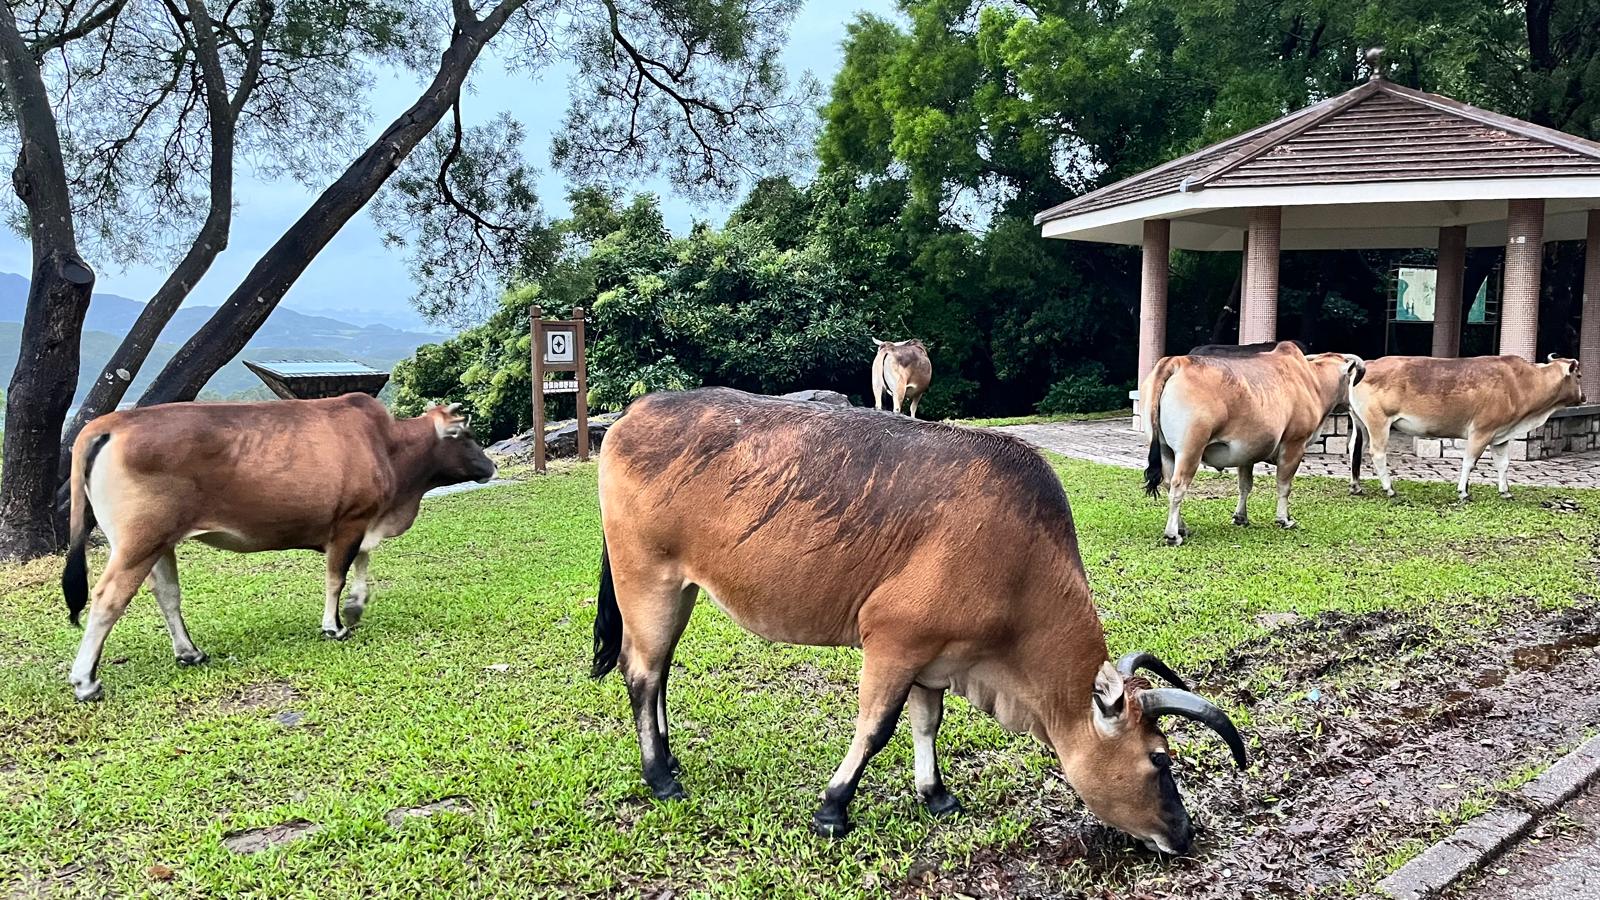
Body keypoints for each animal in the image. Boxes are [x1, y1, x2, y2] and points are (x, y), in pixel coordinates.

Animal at [59, 393, 492, 701]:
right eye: (467, 435)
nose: (491, 466)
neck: (388, 449)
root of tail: (112, 421)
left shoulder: (365, 521)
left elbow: (363, 565)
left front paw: (356, 606)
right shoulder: (349, 522)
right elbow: (337, 575)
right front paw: (335, 625)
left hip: (159, 542)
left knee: (167, 595)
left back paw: (189, 652)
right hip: (139, 541)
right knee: (108, 598)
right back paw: (85, 682)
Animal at [595, 385, 1241, 845]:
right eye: (1160, 759)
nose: (1185, 834)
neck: (1019, 555)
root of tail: (634, 412)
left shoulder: (936, 658)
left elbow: (927, 723)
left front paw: (935, 793)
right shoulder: (892, 642)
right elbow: (875, 728)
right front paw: (833, 808)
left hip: (679, 590)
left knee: (660, 671)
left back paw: (668, 756)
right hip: (647, 580)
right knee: (642, 672)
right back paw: (660, 776)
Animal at [1139, 341, 1363, 538]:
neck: (1312, 382)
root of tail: (1175, 362)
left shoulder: (1246, 453)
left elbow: (1245, 485)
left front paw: (1240, 517)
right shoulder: (1294, 445)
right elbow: (1284, 485)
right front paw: (1284, 519)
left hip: (1165, 449)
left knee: (1168, 483)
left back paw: (1182, 527)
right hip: (1190, 450)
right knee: (1178, 486)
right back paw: (1172, 534)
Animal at [1350, 353, 1587, 499]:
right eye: (1579, 375)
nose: (1584, 397)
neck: (1522, 383)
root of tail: (1368, 364)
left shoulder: (1501, 435)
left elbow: (1503, 464)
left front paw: (1505, 491)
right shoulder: (1481, 431)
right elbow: (1469, 462)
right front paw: (1463, 491)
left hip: (1360, 423)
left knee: (1355, 449)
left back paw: (1356, 486)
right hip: (1379, 422)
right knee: (1377, 453)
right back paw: (1389, 489)